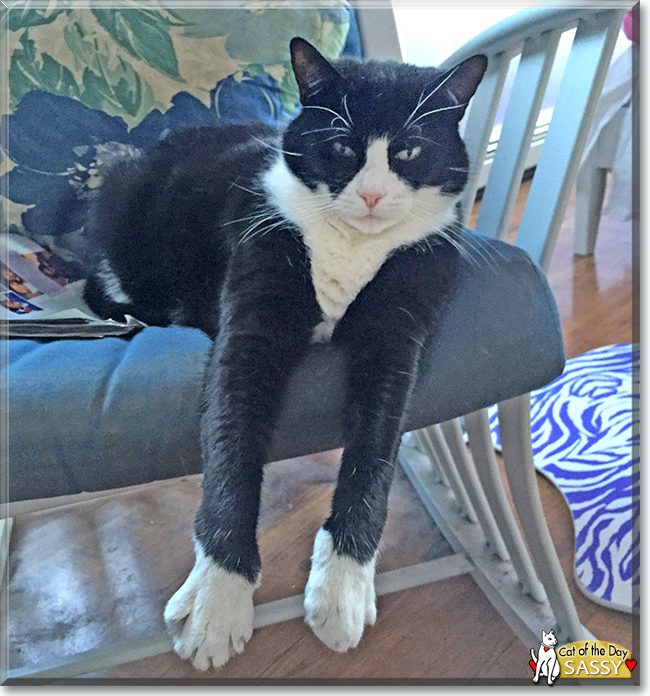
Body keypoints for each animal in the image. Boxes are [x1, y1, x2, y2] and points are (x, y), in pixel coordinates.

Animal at [82, 38, 486, 668]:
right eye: (341, 146)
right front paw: (218, 597)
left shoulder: (400, 330)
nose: (372, 195)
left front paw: (343, 587)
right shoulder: (255, 304)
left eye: (410, 149)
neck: (351, 247)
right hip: (123, 215)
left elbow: (377, 450)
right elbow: (233, 442)